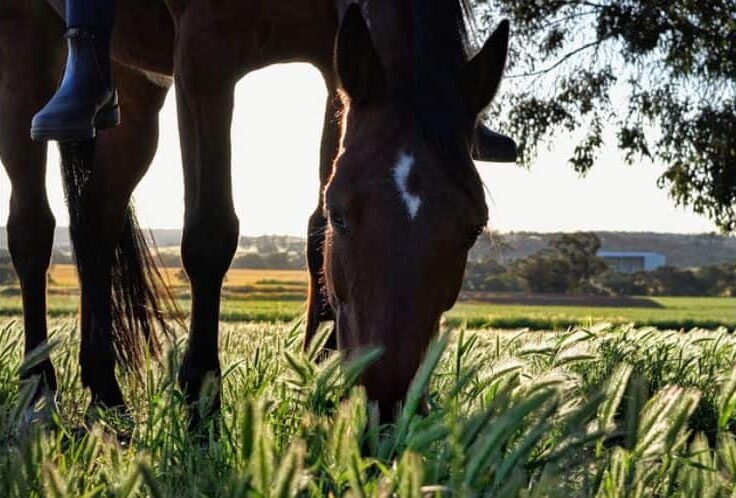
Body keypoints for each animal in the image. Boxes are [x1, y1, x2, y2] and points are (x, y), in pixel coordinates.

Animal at [0, 0, 511, 425]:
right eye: (343, 214)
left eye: (473, 228)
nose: (386, 405)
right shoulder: (204, 50)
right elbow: (209, 234)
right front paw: (201, 404)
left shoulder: (334, 63)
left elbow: (313, 234)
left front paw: (319, 381)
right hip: (26, 40)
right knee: (32, 230)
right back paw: (38, 392)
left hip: (135, 85)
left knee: (96, 220)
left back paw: (105, 396)